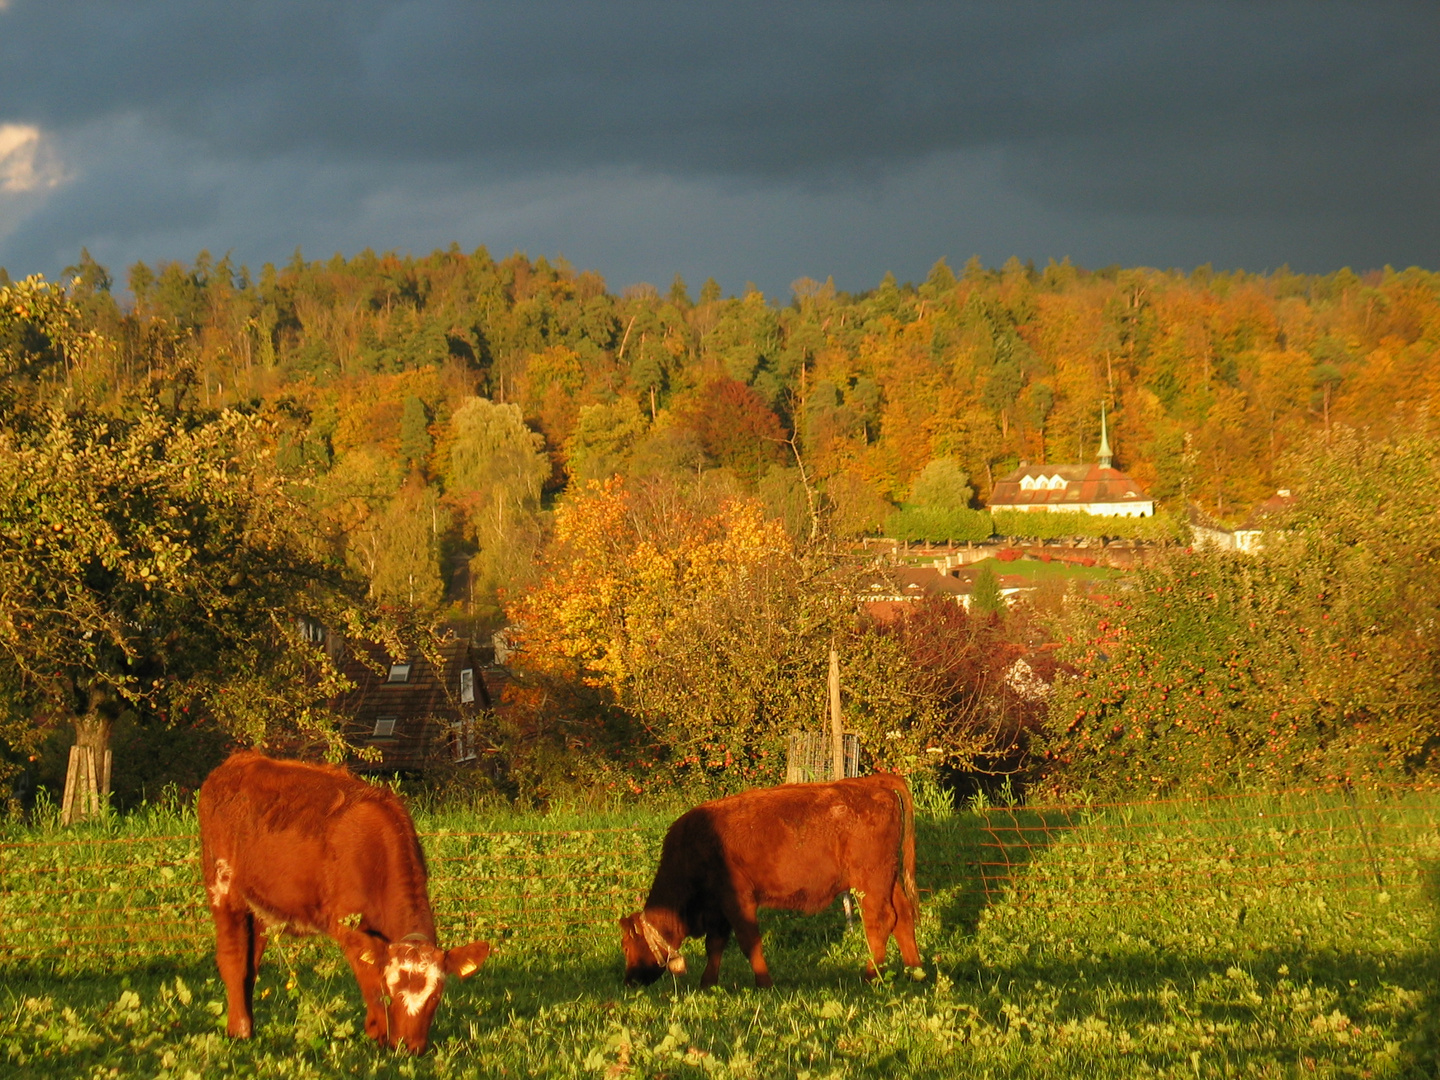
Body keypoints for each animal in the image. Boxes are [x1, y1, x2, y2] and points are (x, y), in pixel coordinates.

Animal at [619, 777, 921, 990]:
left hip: (869, 881)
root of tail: (872, 783)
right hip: (887, 879)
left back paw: (870, 976)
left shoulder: (739, 900)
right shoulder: (718, 908)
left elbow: (748, 941)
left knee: (880, 921)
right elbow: (715, 944)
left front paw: (764, 983)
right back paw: (915, 971)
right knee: (902, 916)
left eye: (626, 945)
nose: (629, 980)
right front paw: (707, 984)